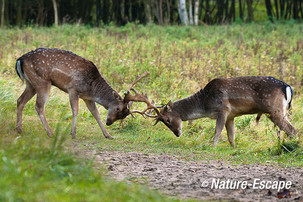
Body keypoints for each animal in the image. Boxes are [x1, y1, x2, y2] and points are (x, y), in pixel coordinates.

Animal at [15, 47, 148, 139]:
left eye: (123, 116)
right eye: (117, 108)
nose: (109, 122)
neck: (92, 88)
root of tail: (20, 60)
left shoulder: (87, 98)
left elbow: (96, 114)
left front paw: (108, 135)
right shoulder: (73, 89)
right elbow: (75, 111)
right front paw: (73, 133)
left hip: (31, 84)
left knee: (20, 100)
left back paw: (19, 129)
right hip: (42, 82)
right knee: (39, 106)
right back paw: (50, 133)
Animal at [132, 76, 296, 147]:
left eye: (167, 119)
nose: (177, 133)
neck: (205, 103)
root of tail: (287, 87)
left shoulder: (223, 109)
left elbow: (217, 131)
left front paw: (213, 147)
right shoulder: (231, 115)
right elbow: (231, 136)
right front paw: (233, 149)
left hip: (274, 109)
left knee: (292, 129)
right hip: (279, 111)